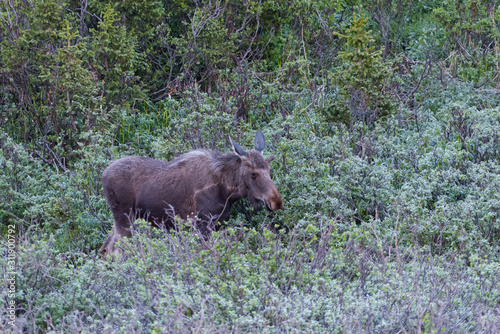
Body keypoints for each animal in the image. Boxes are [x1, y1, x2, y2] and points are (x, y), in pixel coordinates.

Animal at [99, 130, 284, 258]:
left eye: (269, 169)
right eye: (253, 174)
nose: (276, 201)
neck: (228, 191)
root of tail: (103, 175)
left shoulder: (216, 224)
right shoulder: (201, 224)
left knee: (105, 248)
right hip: (124, 218)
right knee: (115, 250)